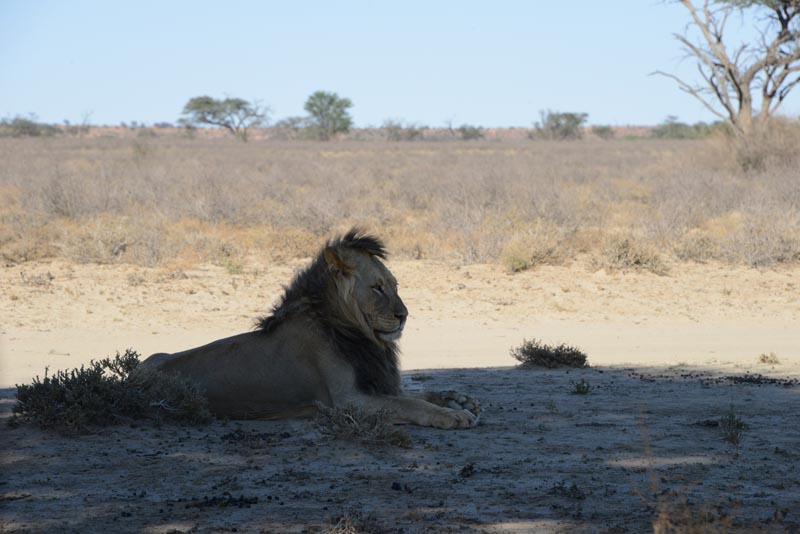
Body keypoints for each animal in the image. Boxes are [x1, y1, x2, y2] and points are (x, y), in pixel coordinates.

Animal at [141, 229, 480, 429]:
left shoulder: (377, 385)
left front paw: (459, 399)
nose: (404, 315)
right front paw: (453, 415)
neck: (358, 335)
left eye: (395, 286)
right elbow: (411, 403)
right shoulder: (349, 400)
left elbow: (420, 392)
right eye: (377, 288)